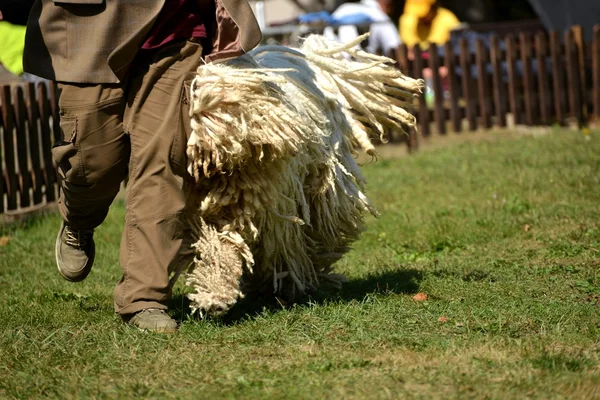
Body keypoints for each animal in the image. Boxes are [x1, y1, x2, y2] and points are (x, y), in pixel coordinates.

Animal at [168, 33, 422, 316]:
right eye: (194, 116)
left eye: (224, 114)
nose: (207, 156)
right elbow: (216, 244)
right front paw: (214, 294)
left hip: (322, 187)